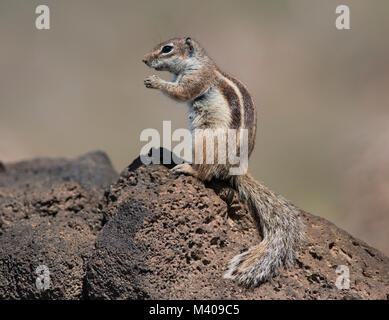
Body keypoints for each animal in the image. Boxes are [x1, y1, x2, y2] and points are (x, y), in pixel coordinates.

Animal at [142, 36, 304, 286]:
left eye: (167, 49)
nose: (144, 60)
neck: (198, 62)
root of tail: (236, 170)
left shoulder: (196, 79)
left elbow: (181, 92)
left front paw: (155, 82)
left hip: (203, 139)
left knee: (205, 174)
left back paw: (188, 168)